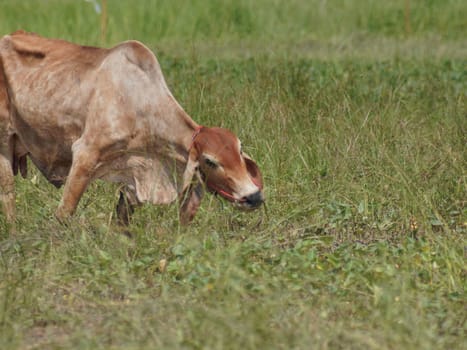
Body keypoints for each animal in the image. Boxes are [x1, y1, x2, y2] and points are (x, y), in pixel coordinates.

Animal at [0, 30, 264, 230]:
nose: (254, 196)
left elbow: (122, 218)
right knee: (8, 191)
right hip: (3, 139)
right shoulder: (85, 154)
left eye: (240, 151)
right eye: (210, 161)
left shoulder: (135, 174)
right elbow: (64, 212)